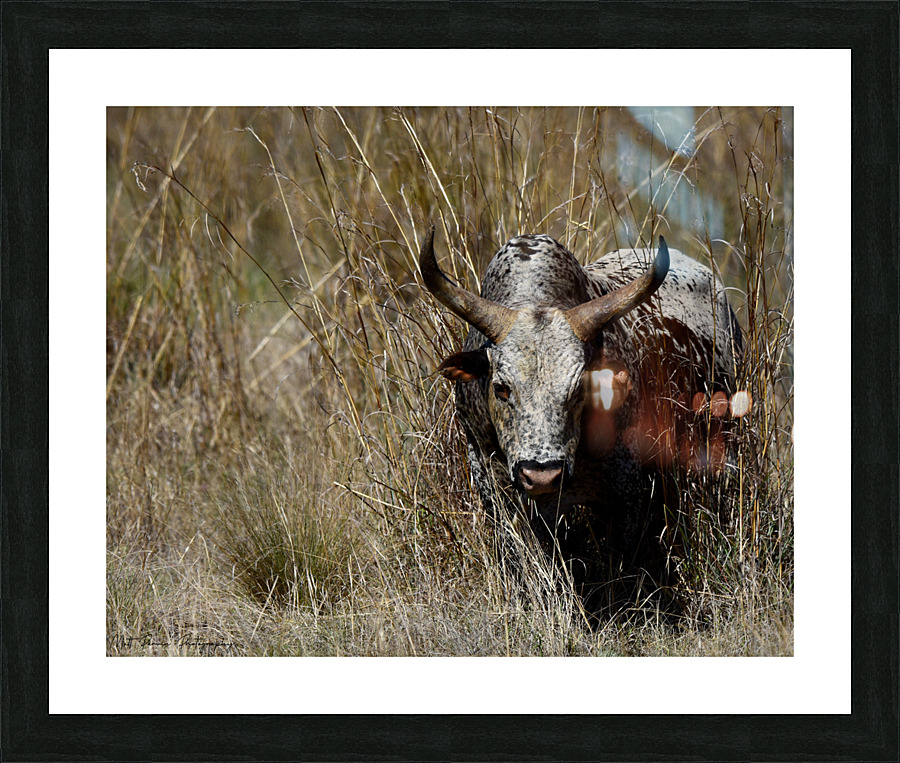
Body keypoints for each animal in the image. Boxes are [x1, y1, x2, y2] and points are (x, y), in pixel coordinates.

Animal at [419, 226, 743, 608]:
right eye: (501, 388)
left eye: (577, 388)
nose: (542, 475)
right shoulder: (495, 489)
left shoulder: (625, 493)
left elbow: (622, 567)